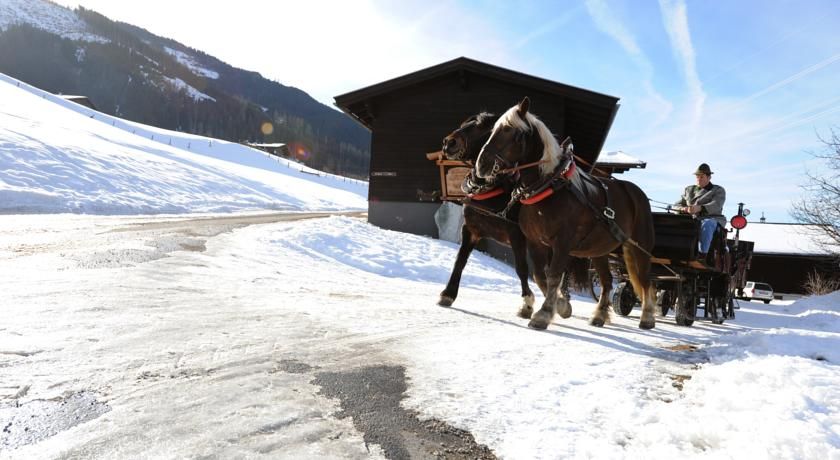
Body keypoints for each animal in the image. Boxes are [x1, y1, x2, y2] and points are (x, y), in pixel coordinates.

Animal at [440, 112, 584, 320]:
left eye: (483, 126)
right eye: (466, 122)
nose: (449, 142)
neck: (494, 190)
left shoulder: (517, 235)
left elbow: (522, 269)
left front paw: (527, 304)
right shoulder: (471, 229)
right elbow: (460, 260)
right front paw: (448, 294)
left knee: (557, 272)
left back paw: (561, 301)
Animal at [476, 97, 660, 328]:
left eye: (510, 131)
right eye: (494, 129)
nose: (481, 164)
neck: (549, 186)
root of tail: (637, 193)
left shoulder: (562, 243)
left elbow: (554, 276)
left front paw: (544, 313)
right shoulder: (536, 242)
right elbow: (540, 275)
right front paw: (562, 306)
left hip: (640, 247)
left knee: (646, 281)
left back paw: (647, 317)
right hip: (600, 250)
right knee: (608, 281)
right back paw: (599, 315)